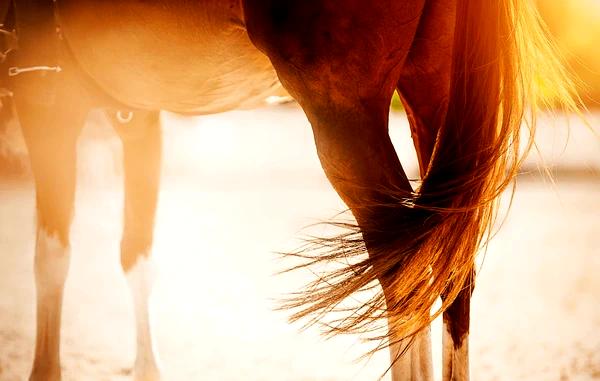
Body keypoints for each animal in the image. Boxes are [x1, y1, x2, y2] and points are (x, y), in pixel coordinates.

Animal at [4, 0, 576, 380]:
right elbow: (135, 256)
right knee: (451, 275)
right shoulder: (139, 119)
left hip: (343, 115)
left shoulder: (46, 103)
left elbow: (50, 259)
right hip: (432, 94)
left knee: (403, 275)